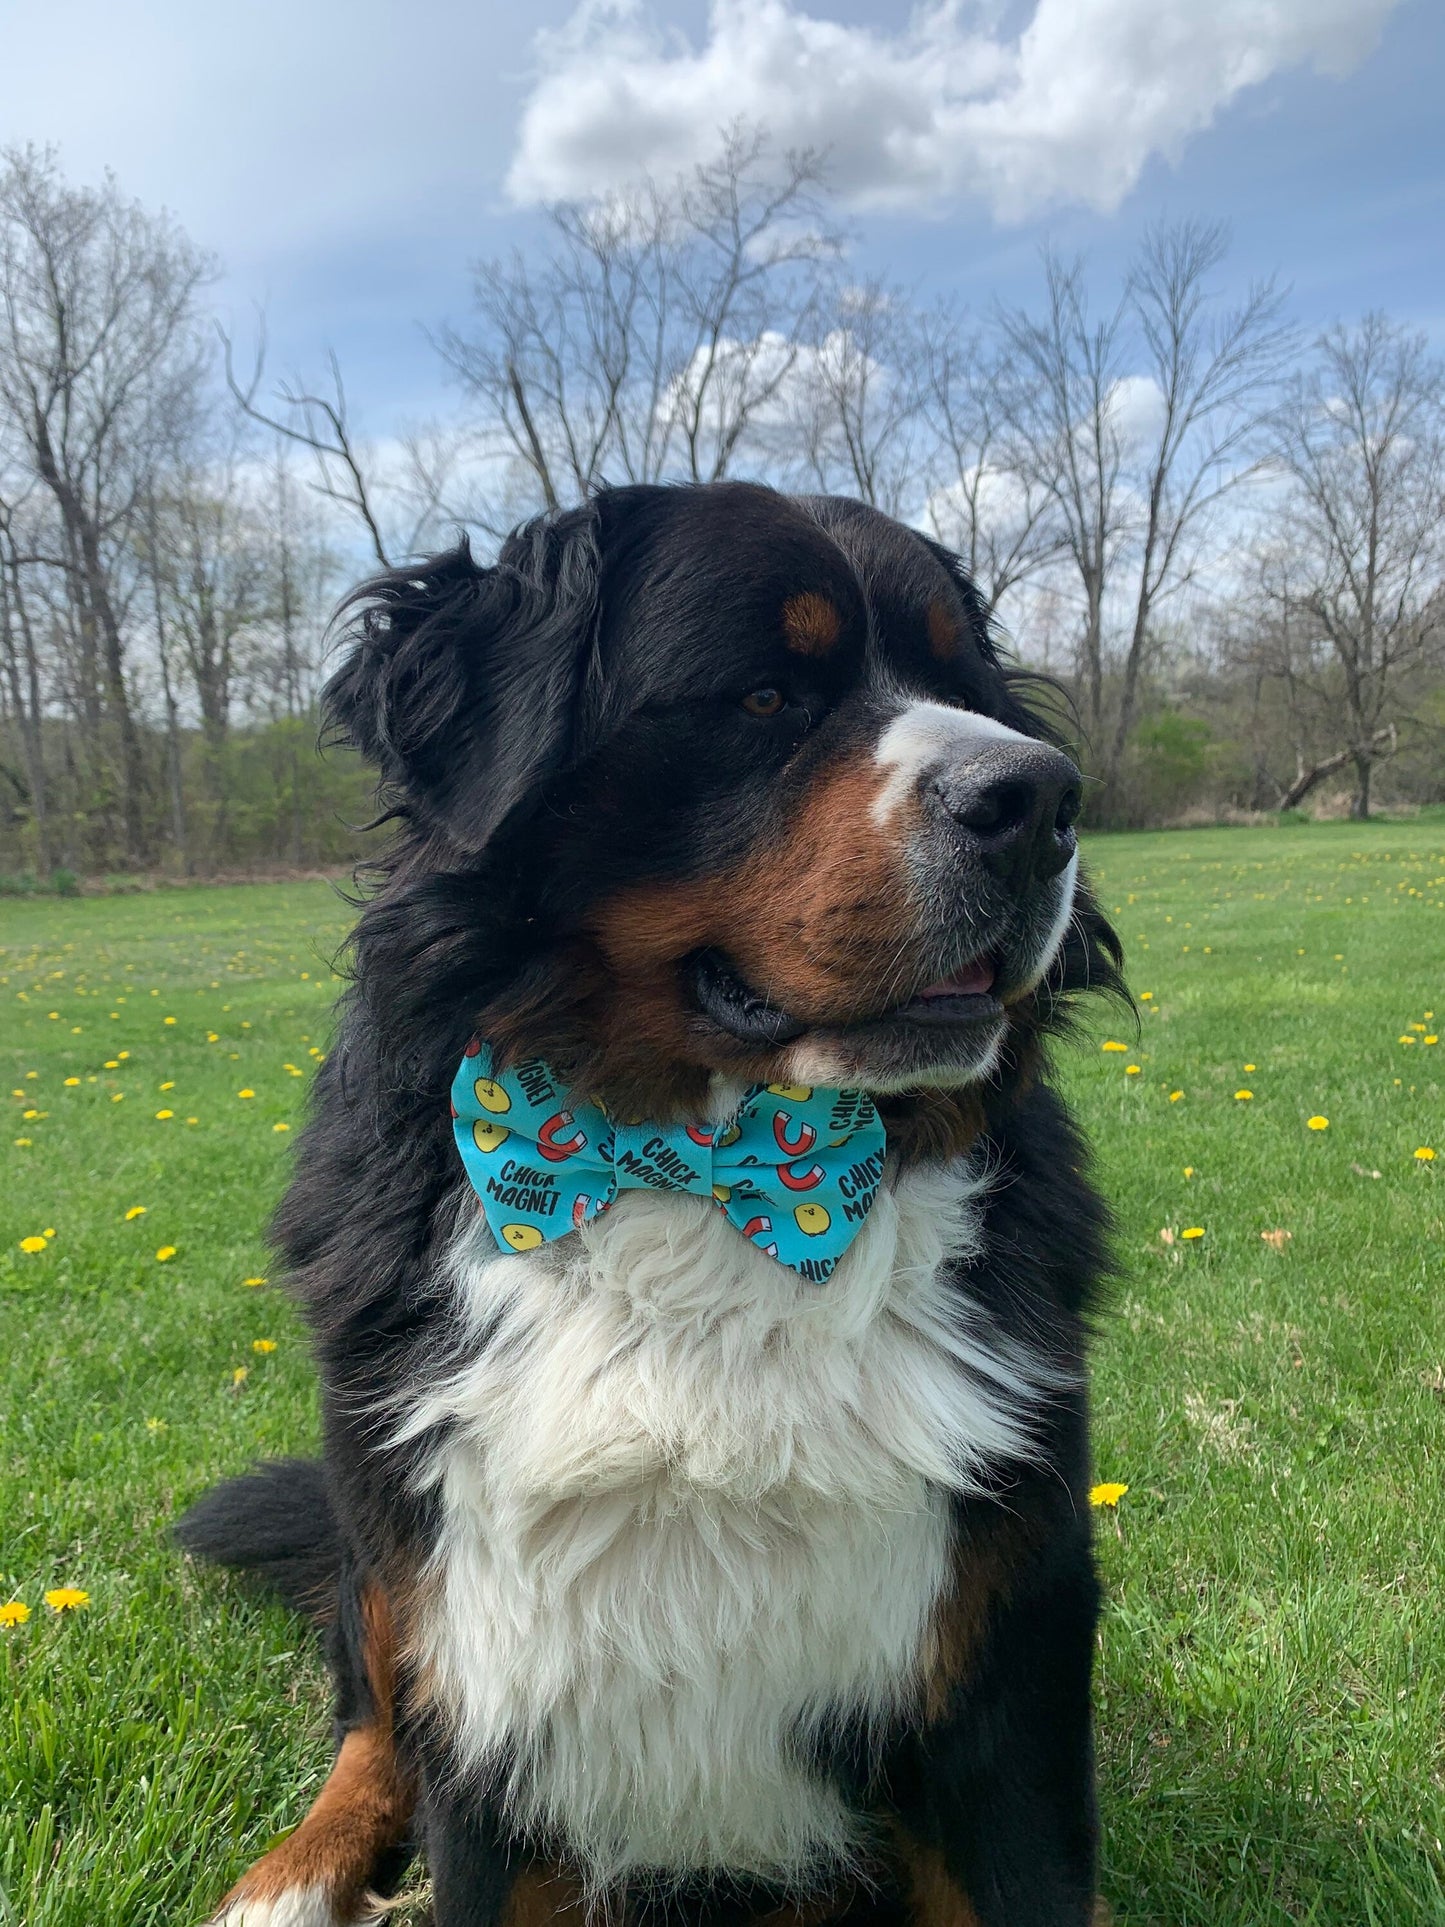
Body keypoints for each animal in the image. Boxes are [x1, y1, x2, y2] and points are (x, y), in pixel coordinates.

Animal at [181, 481, 1125, 1927]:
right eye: (763, 693)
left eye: (963, 683)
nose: (1037, 796)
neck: (702, 1175)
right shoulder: (481, 1669)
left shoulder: (1001, 1669)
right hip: (382, 1559)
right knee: (369, 1722)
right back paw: (291, 1875)